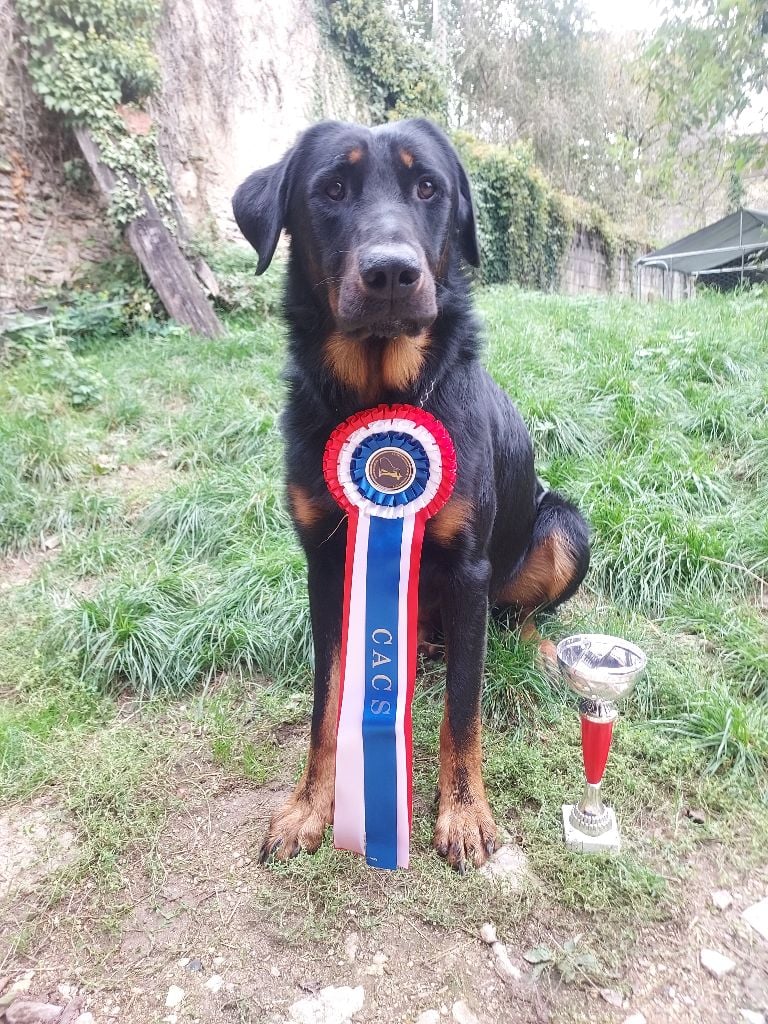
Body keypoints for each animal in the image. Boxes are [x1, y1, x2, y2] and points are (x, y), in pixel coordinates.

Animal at [233, 118, 590, 872]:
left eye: (428, 187)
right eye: (332, 189)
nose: (392, 273)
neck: (378, 395)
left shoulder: (471, 567)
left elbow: (463, 710)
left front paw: (464, 813)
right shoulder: (325, 562)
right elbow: (327, 701)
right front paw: (309, 806)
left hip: (565, 527)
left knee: (517, 618)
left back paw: (541, 651)